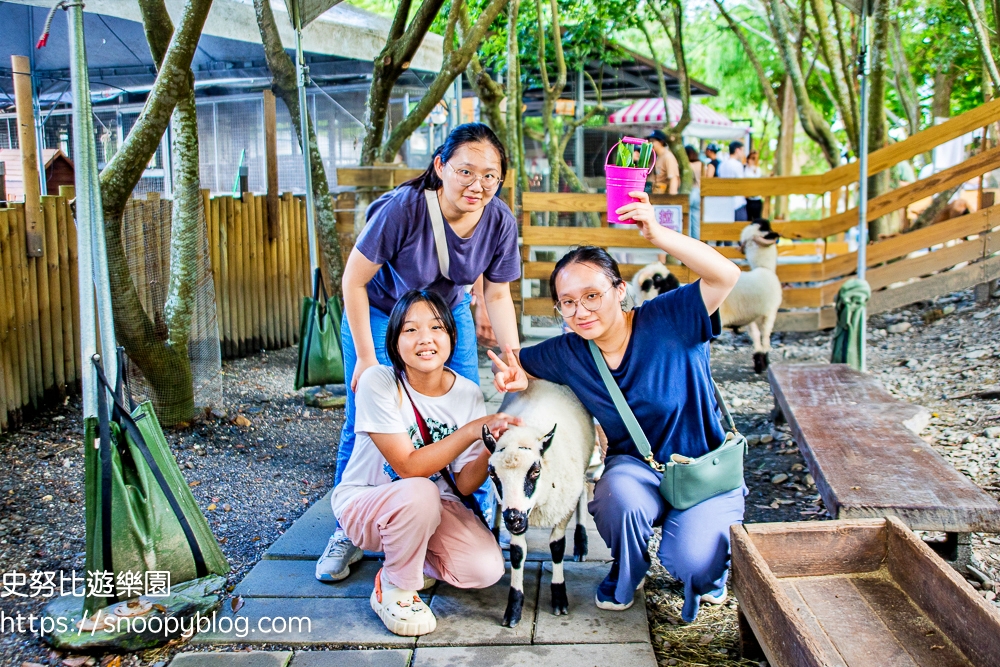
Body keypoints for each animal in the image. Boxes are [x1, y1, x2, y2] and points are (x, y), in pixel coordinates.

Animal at [482, 378, 592, 628]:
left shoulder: (563, 508)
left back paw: (581, 543)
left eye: (535, 471)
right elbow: (517, 554)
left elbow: (557, 547)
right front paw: (513, 610)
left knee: (583, 491)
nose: (513, 519)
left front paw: (559, 598)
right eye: (492, 474)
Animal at [724, 220, 784, 374]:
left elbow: (755, 335)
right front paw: (765, 360)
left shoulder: (749, 315)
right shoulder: (770, 312)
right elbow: (766, 336)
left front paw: (758, 360)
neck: (764, 267)